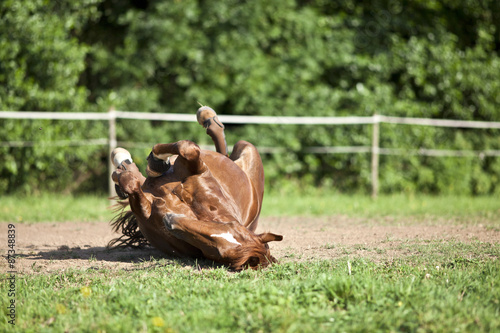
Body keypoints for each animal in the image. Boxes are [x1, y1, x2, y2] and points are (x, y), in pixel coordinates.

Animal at [109, 106, 282, 270]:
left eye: (219, 252)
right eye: (232, 226)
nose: (170, 220)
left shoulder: (145, 210)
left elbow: (131, 185)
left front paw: (123, 175)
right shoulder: (198, 167)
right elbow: (188, 147)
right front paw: (155, 163)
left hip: (250, 151)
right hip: (243, 147)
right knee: (222, 150)